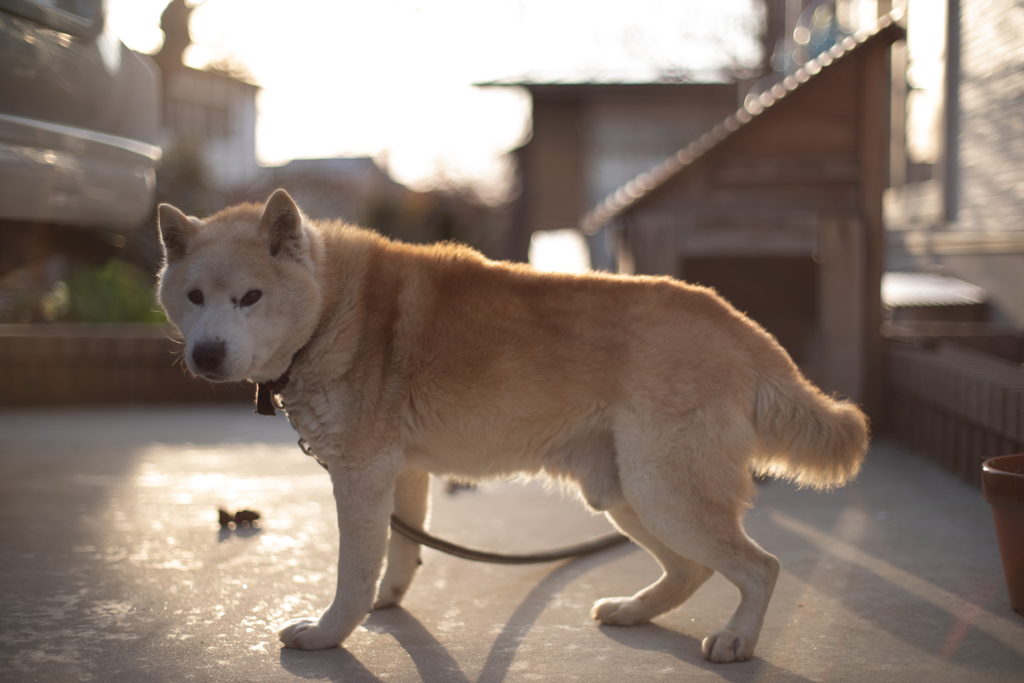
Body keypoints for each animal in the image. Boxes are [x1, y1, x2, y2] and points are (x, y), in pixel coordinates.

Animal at [155, 187, 868, 663]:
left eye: (250, 298)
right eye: (194, 297)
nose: (206, 355)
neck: (333, 309)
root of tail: (739, 324)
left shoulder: (361, 473)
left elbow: (352, 574)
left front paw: (330, 634)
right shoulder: (399, 470)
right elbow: (399, 554)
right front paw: (390, 600)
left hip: (663, 490)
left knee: (760, 566)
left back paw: (738, 639)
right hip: (625, 493)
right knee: (692, 570)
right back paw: (635, 611)